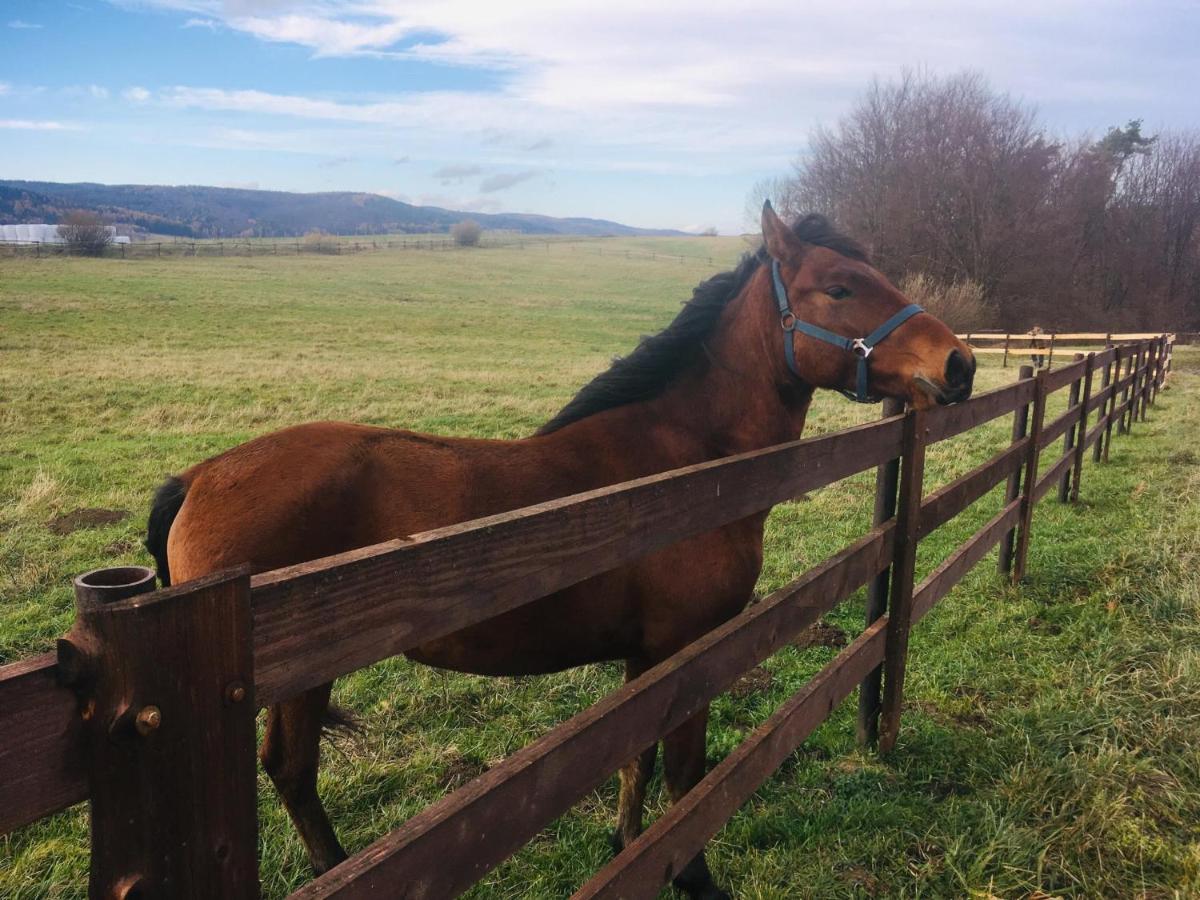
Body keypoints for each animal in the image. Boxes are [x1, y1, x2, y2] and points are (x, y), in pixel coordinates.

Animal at [147, 206, 974, 900]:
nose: (959, 364)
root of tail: (199, 478)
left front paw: (629, 847)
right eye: (838, 287)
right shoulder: (688, 648)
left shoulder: (646, 655)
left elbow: (637, 758)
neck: (684, 464)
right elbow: (683, 772)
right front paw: (692, 876)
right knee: (293, 771)